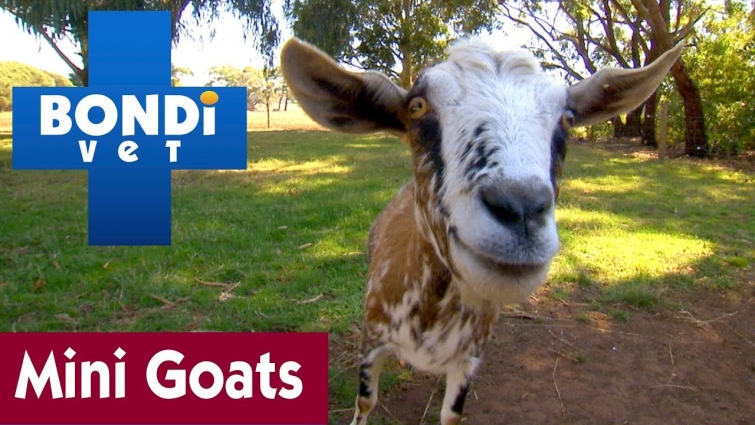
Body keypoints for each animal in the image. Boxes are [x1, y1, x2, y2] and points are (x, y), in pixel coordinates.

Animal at [281, 37, 682, 425]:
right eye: (417, 106)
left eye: (568, 118)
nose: (520, 210)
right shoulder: (372, 339)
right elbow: (366, 402)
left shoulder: (470, 357)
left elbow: (452, 414)